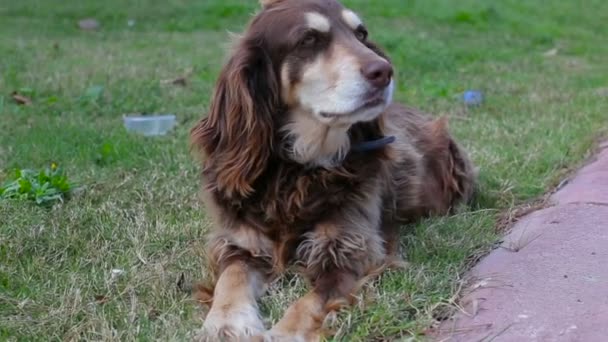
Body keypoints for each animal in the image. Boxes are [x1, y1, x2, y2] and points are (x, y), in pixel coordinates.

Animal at [190, 0, 476, 340]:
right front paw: (227, 320)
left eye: (361, 33)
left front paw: (284, 333)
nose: (384, 71)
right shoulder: (240, 240)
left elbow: (310, 301)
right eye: (309, 40)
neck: (299, 170)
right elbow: (231, 277)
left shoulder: (349, 251)